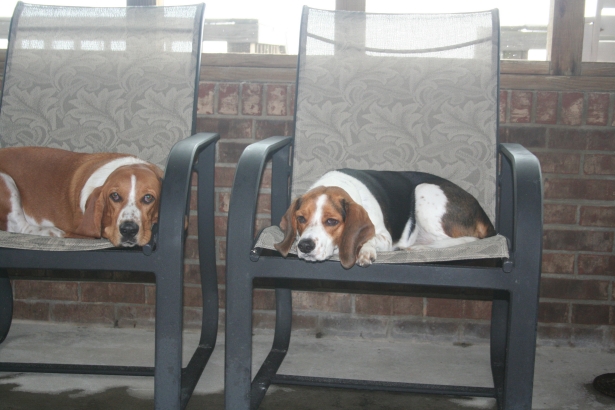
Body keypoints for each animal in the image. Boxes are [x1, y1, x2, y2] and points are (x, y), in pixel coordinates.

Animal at [0, 146, 163, 247]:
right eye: (115, 196)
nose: (128, 229)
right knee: (19, 225)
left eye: (148, 198)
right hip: (7, 182)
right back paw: (51, 231)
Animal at [274, 169, 496, 269]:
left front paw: (365, 251)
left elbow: (368, 239)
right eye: (301, 218)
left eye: (331, 221)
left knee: (458, 240)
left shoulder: (384, 237)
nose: (305, 246)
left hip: (423, 190)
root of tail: (482, 213)